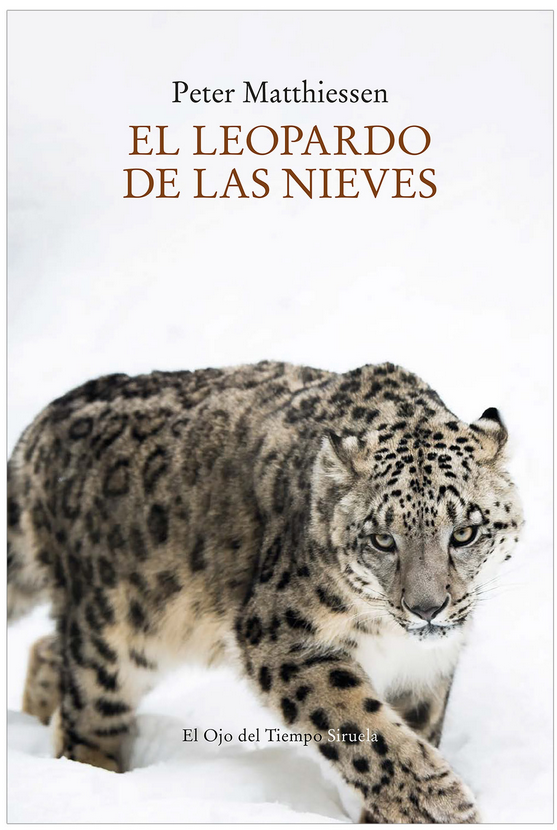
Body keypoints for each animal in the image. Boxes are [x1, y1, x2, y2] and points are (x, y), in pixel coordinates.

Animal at [7, 360, 524, 823]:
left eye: (464, 533)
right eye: (382, 539)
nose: (426, 608)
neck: (392, 640)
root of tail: (41, 423)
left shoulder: (426, 670)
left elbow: (415, 729)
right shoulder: (283, 639)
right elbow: (362, 728)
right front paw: (442, 805)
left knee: (49, 649)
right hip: (112, 635)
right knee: (87, 714)